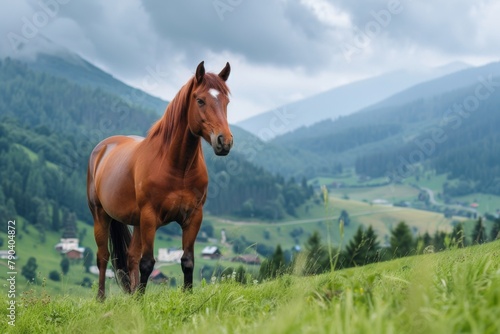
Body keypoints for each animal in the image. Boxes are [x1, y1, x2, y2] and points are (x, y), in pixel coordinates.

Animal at [87, 62, 233, 300]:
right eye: (200, 100)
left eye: (226, 101)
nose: (224, 141)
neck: (178, 167)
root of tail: (103, 148)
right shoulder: (150, 217)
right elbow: (147, 263)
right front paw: (140, 301)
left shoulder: (194, 217)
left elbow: (187, 261)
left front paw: (186, 296)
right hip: (101, 215)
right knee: (103, 257)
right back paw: (101, 299)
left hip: (136, 222)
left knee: (131, 257)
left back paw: (131, 295)